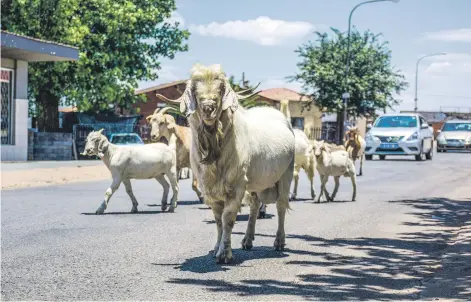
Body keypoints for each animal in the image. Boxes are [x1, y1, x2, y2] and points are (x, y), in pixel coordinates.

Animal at [157, 64, 296, 264]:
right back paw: (247, 240)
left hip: (286, 174)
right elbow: (218, 220)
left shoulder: (236, 185)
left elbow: (228, 219)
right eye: (195, 90)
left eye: (220, 89)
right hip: (254, 181)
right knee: (255, 205)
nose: (208, 107)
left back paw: (279, 242)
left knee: (281, 206)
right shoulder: (210, 189)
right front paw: (217, 247)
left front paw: (224, 253)